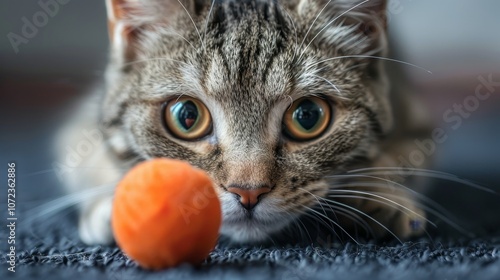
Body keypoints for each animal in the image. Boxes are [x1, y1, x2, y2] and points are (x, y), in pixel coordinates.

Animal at [55, 0, 430, 245]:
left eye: (308, 116)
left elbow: (395, 159)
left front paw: (383, 196)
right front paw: (119, 205)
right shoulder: (77, 130)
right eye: (186, 116)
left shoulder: (416, 125)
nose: (248, 192)